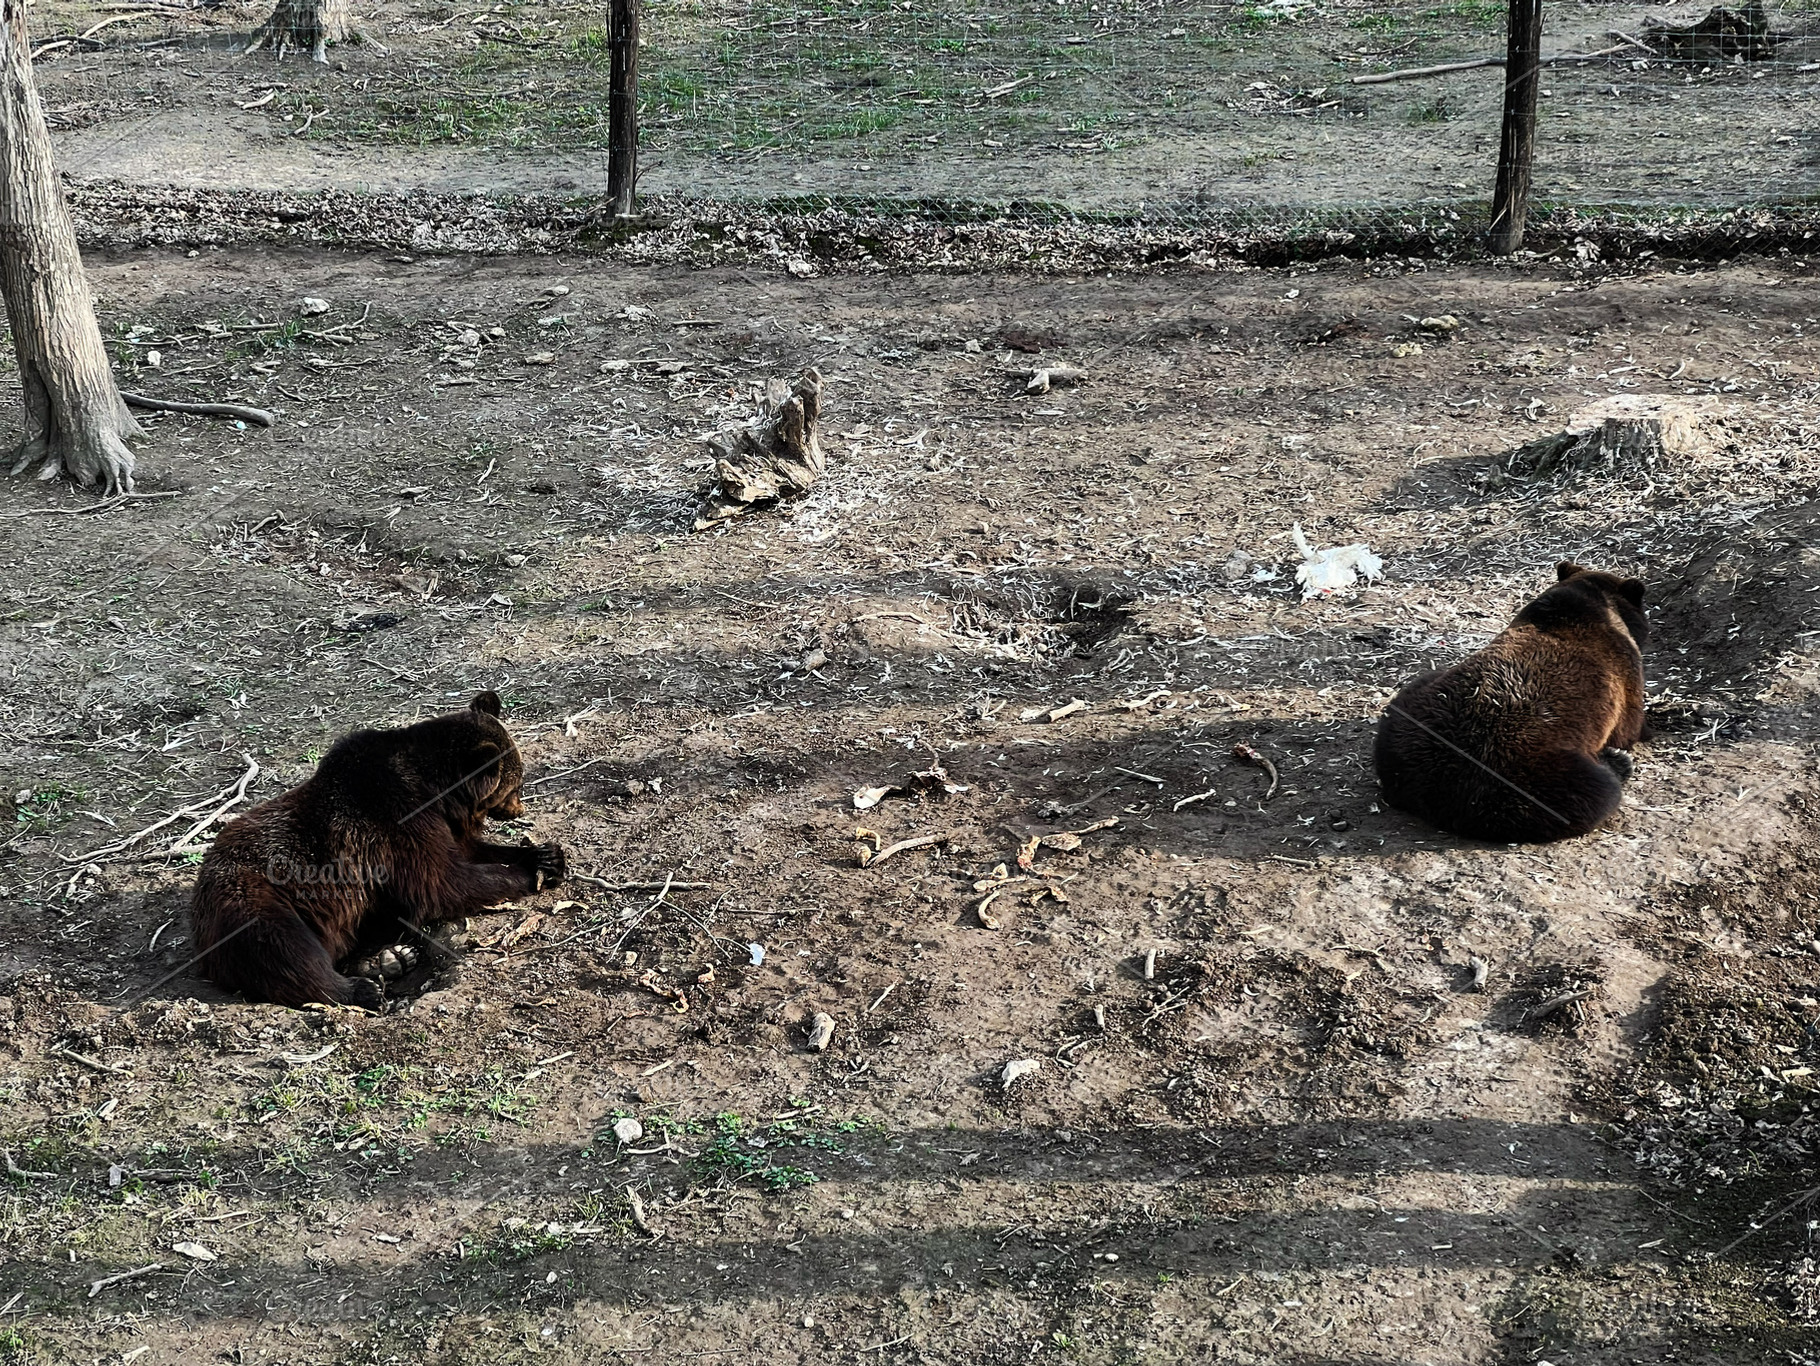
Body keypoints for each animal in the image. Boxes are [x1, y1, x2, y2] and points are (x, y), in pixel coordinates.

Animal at [191, 691, 565, 1009]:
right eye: (515, 785)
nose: (519, 810)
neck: (437, 793)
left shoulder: (439, 827)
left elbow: (469, 853)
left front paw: (547, 856)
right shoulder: (396, 824)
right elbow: (441, 884)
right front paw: (530, 873)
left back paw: (390, 959)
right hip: (256, 898)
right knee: (286, 949)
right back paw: (363, 989)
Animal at [1373, 563, 1648, 843]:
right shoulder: (1624, 676)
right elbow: (1629, 727)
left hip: (1407, 723)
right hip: (1528, 776)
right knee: (1595, 794)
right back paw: (1616, 764)